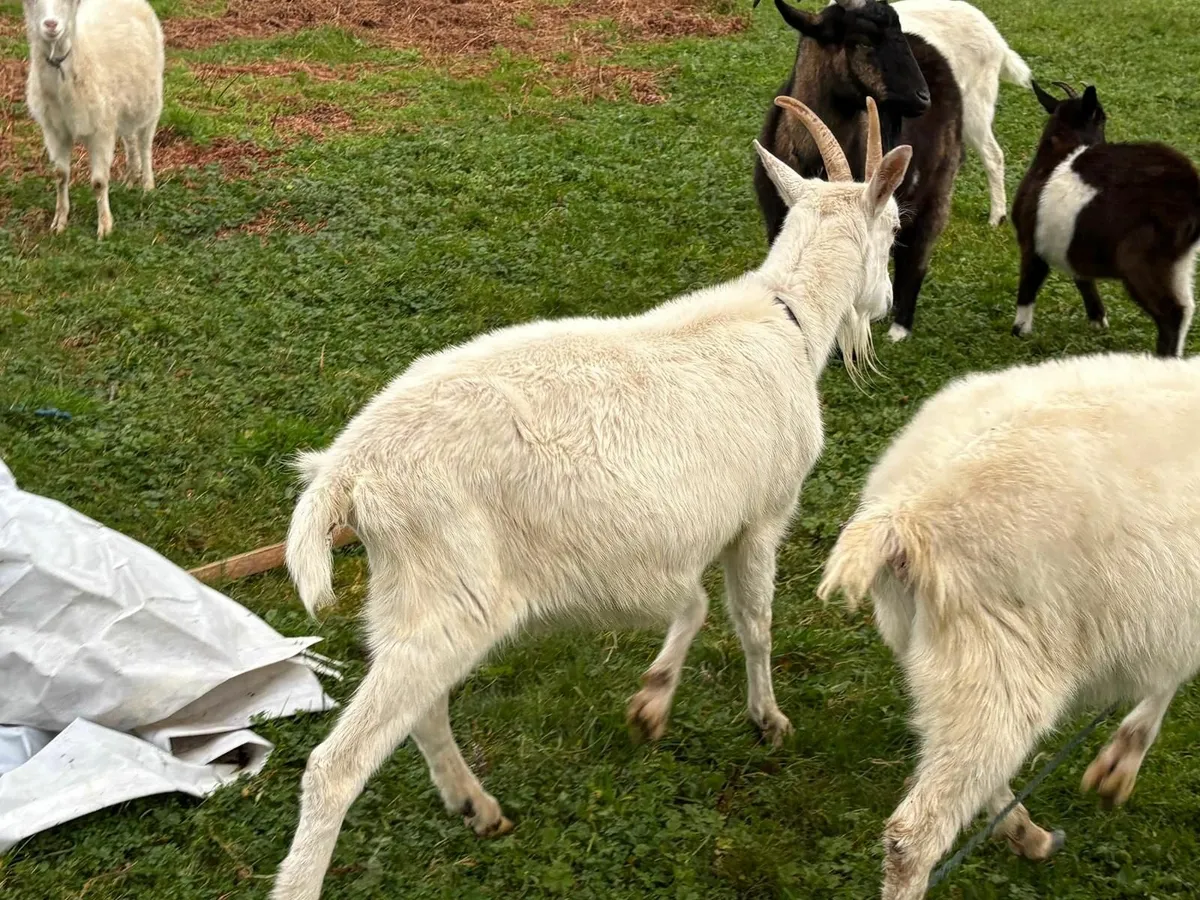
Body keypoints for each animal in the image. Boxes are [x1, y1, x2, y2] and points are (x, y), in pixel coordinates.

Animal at [23, 0, 164, 239]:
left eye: (67, 2)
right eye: (31, 2)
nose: (51, 25)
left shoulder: (100, 130)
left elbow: (98, 182)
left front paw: (105, 227)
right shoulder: (55, 130)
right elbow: (60, 175)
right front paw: (59, 222)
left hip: (150, 98)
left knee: (145, 142)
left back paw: (147, 184)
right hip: (121, 104)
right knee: (129, 139)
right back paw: (131, 178)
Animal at [269, 100, 913, 900]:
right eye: (895, 228)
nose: (886, 302)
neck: (785, 315)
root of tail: (348, 471)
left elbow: (694, 605)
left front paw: (653, 700)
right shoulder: (761, 515)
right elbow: (749, 621)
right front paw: (760, 718)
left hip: (411, 595)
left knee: (422, 709)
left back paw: (476, 806)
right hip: (451, 594)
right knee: (338, 764)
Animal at [818, 351, 1200, 899]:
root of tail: (904, 513)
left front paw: (1117, 764)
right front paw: (1123, 760)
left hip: (947, 665)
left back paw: (1027, 834)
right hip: (1002, 665)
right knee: (913, 836)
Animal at [1011, 81, 1200, 357]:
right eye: (1102, 119)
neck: (1059, 154)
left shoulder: (1031, 241)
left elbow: (1029, 284)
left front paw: (1019, 331)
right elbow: (1082, 278)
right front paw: (1099, 321)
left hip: (1142, 260)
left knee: (1171, 313)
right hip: (1179, 262)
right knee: (1186, 308)